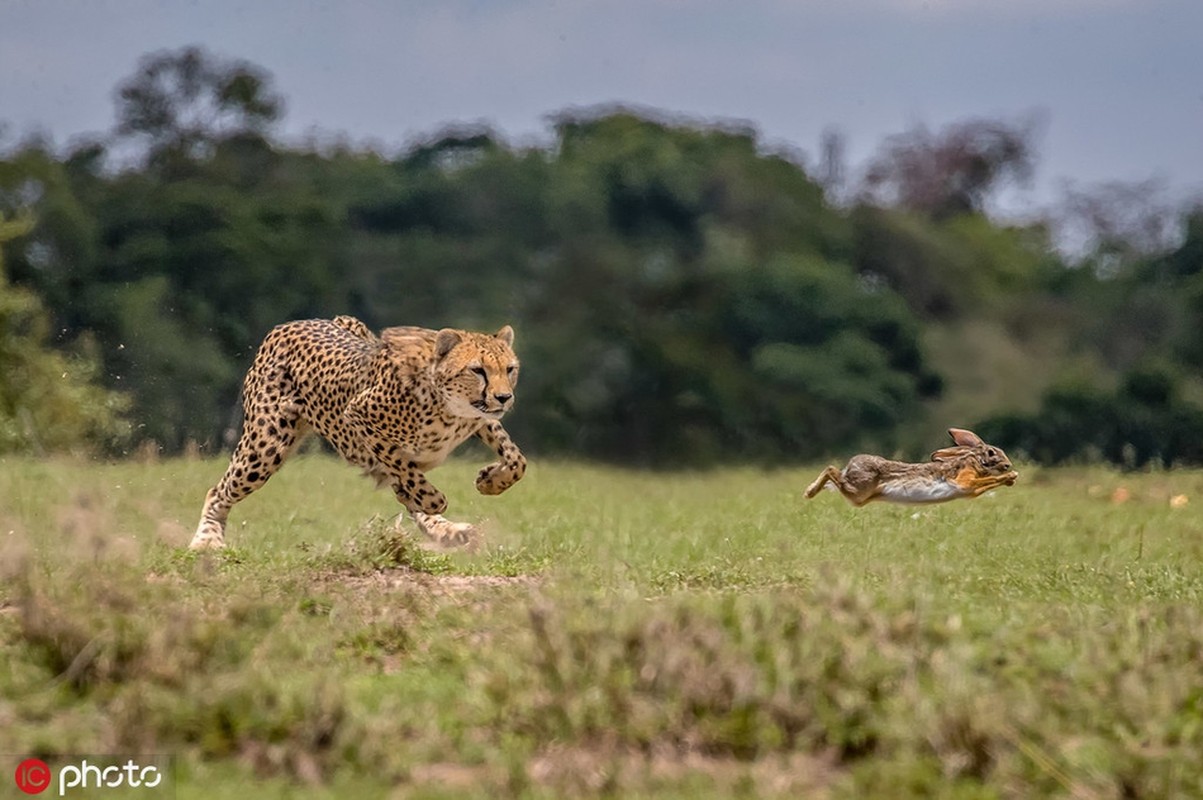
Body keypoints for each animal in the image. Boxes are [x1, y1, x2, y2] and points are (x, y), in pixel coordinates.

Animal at [190, 317, 524, 548]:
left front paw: (491, 481)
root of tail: (288, 325)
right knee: (217, 491)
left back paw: (449, 530)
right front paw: (432, 499)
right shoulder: (357, 416)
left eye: (509, 369)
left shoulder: (482, 418)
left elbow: (517, 461)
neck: (451, 408)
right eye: (477, 370)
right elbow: (408, 472)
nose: (504, 397)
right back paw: (207, 540)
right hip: (266, 445)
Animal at [803, 430, 1020, 505]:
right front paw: (1011, 476)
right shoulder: (964, 481)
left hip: (859, 497)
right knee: (830, 469)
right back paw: (809, 492)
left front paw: (1011, 477)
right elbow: (990, 479)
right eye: (991, 452)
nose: (1008, 465)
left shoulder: (971, 490)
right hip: (858, 488)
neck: (974, 461)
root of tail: (851, 465)